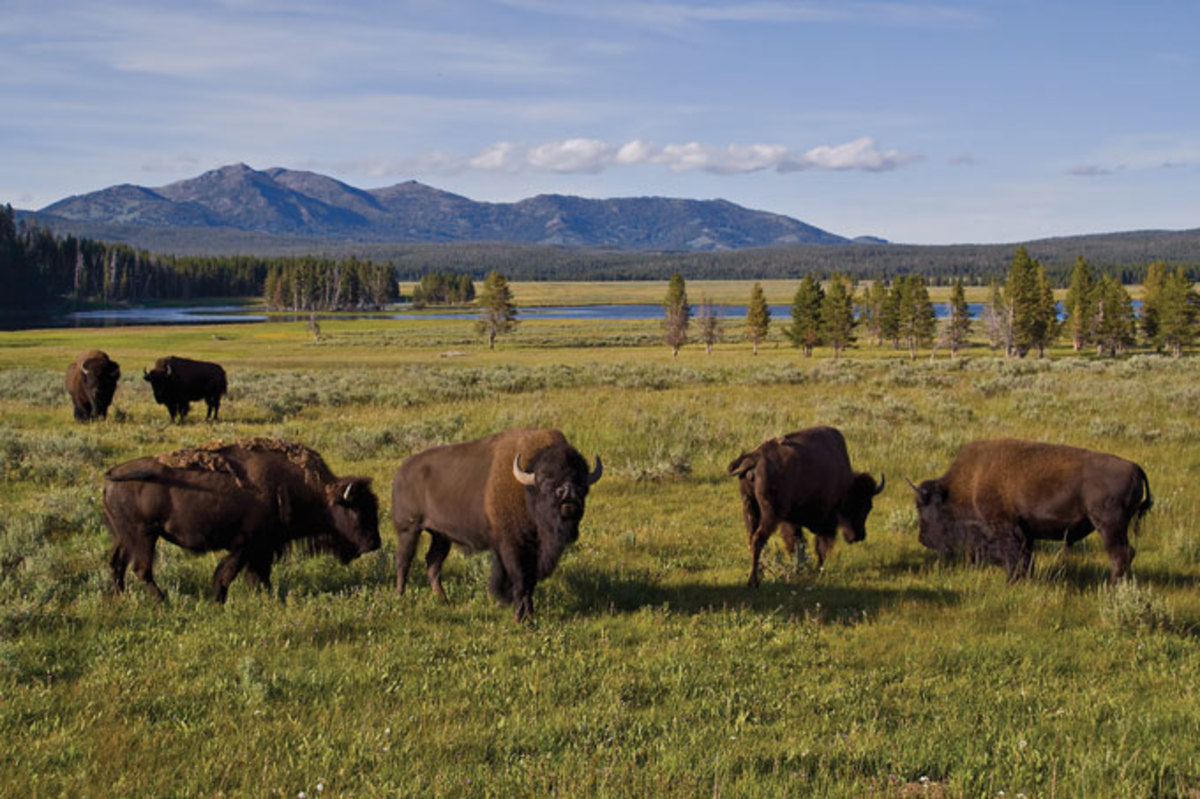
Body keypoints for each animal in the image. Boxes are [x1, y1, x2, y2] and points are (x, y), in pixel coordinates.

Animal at [107, 436, 381, 597]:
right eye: (356, 510)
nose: (374, 543)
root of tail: (111, 476)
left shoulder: (263, 548)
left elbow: (259, 575)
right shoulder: (246, 544)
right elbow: (227, 575)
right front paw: (219, 600)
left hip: (125, 539)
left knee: (118, 565)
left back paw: (120, 598)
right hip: (144, 537)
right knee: (142, 570)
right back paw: (163, 601)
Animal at [391, 427, 604, 619]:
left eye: (582, 483)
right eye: (545, 481)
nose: (569, 492)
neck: (526, 490)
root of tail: (402, 471)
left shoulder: (534, 552)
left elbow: (530, 582)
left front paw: (530, 614)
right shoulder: (512, 547)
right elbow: (520, 579)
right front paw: (520, 617)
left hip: (441, 536)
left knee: (433, 563)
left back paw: (443, 600)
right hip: (409, 530)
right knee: (404, 561)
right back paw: (400, 597)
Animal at [724, 422, 888, 585]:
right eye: (863, 505)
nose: (859, 536)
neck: (845, 483)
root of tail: (754, 458)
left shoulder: (791, 520)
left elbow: (796, 543)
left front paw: (800, 569)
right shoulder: (826, 522)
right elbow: (820, 547)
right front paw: (817, 570)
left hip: (749, 507)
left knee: (752, 538)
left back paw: (760, 574)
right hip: (770, 514)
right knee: (758, 539)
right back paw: (754, 580)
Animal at [907, 436, 1152, 578]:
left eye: (923, 507)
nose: (922, 539)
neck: (971, 481)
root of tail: (1134, 467)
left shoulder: (1005, 528)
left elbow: (1014, 557)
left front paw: (1012, 581)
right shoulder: (1026, 533)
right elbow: (1026, 558)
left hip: (1109, 527)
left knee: (1119, 554)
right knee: (1127, 553)